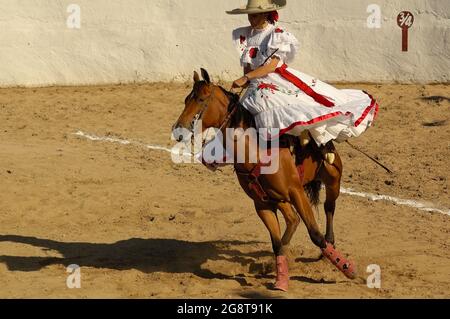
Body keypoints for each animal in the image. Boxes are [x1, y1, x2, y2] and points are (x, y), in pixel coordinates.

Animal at [174, 69, 356, 292]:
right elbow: (276, 243)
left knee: (329, 208)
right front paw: (281, 278)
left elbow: (315, 233)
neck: (256, 151)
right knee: (293, 219)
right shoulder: (261, 204)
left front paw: (347, 268)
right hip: (279, 198)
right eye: (186, 99)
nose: (178, 130)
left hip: (332, 180)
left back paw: (330, 246)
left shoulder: (297, 192)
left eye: (201, 99)